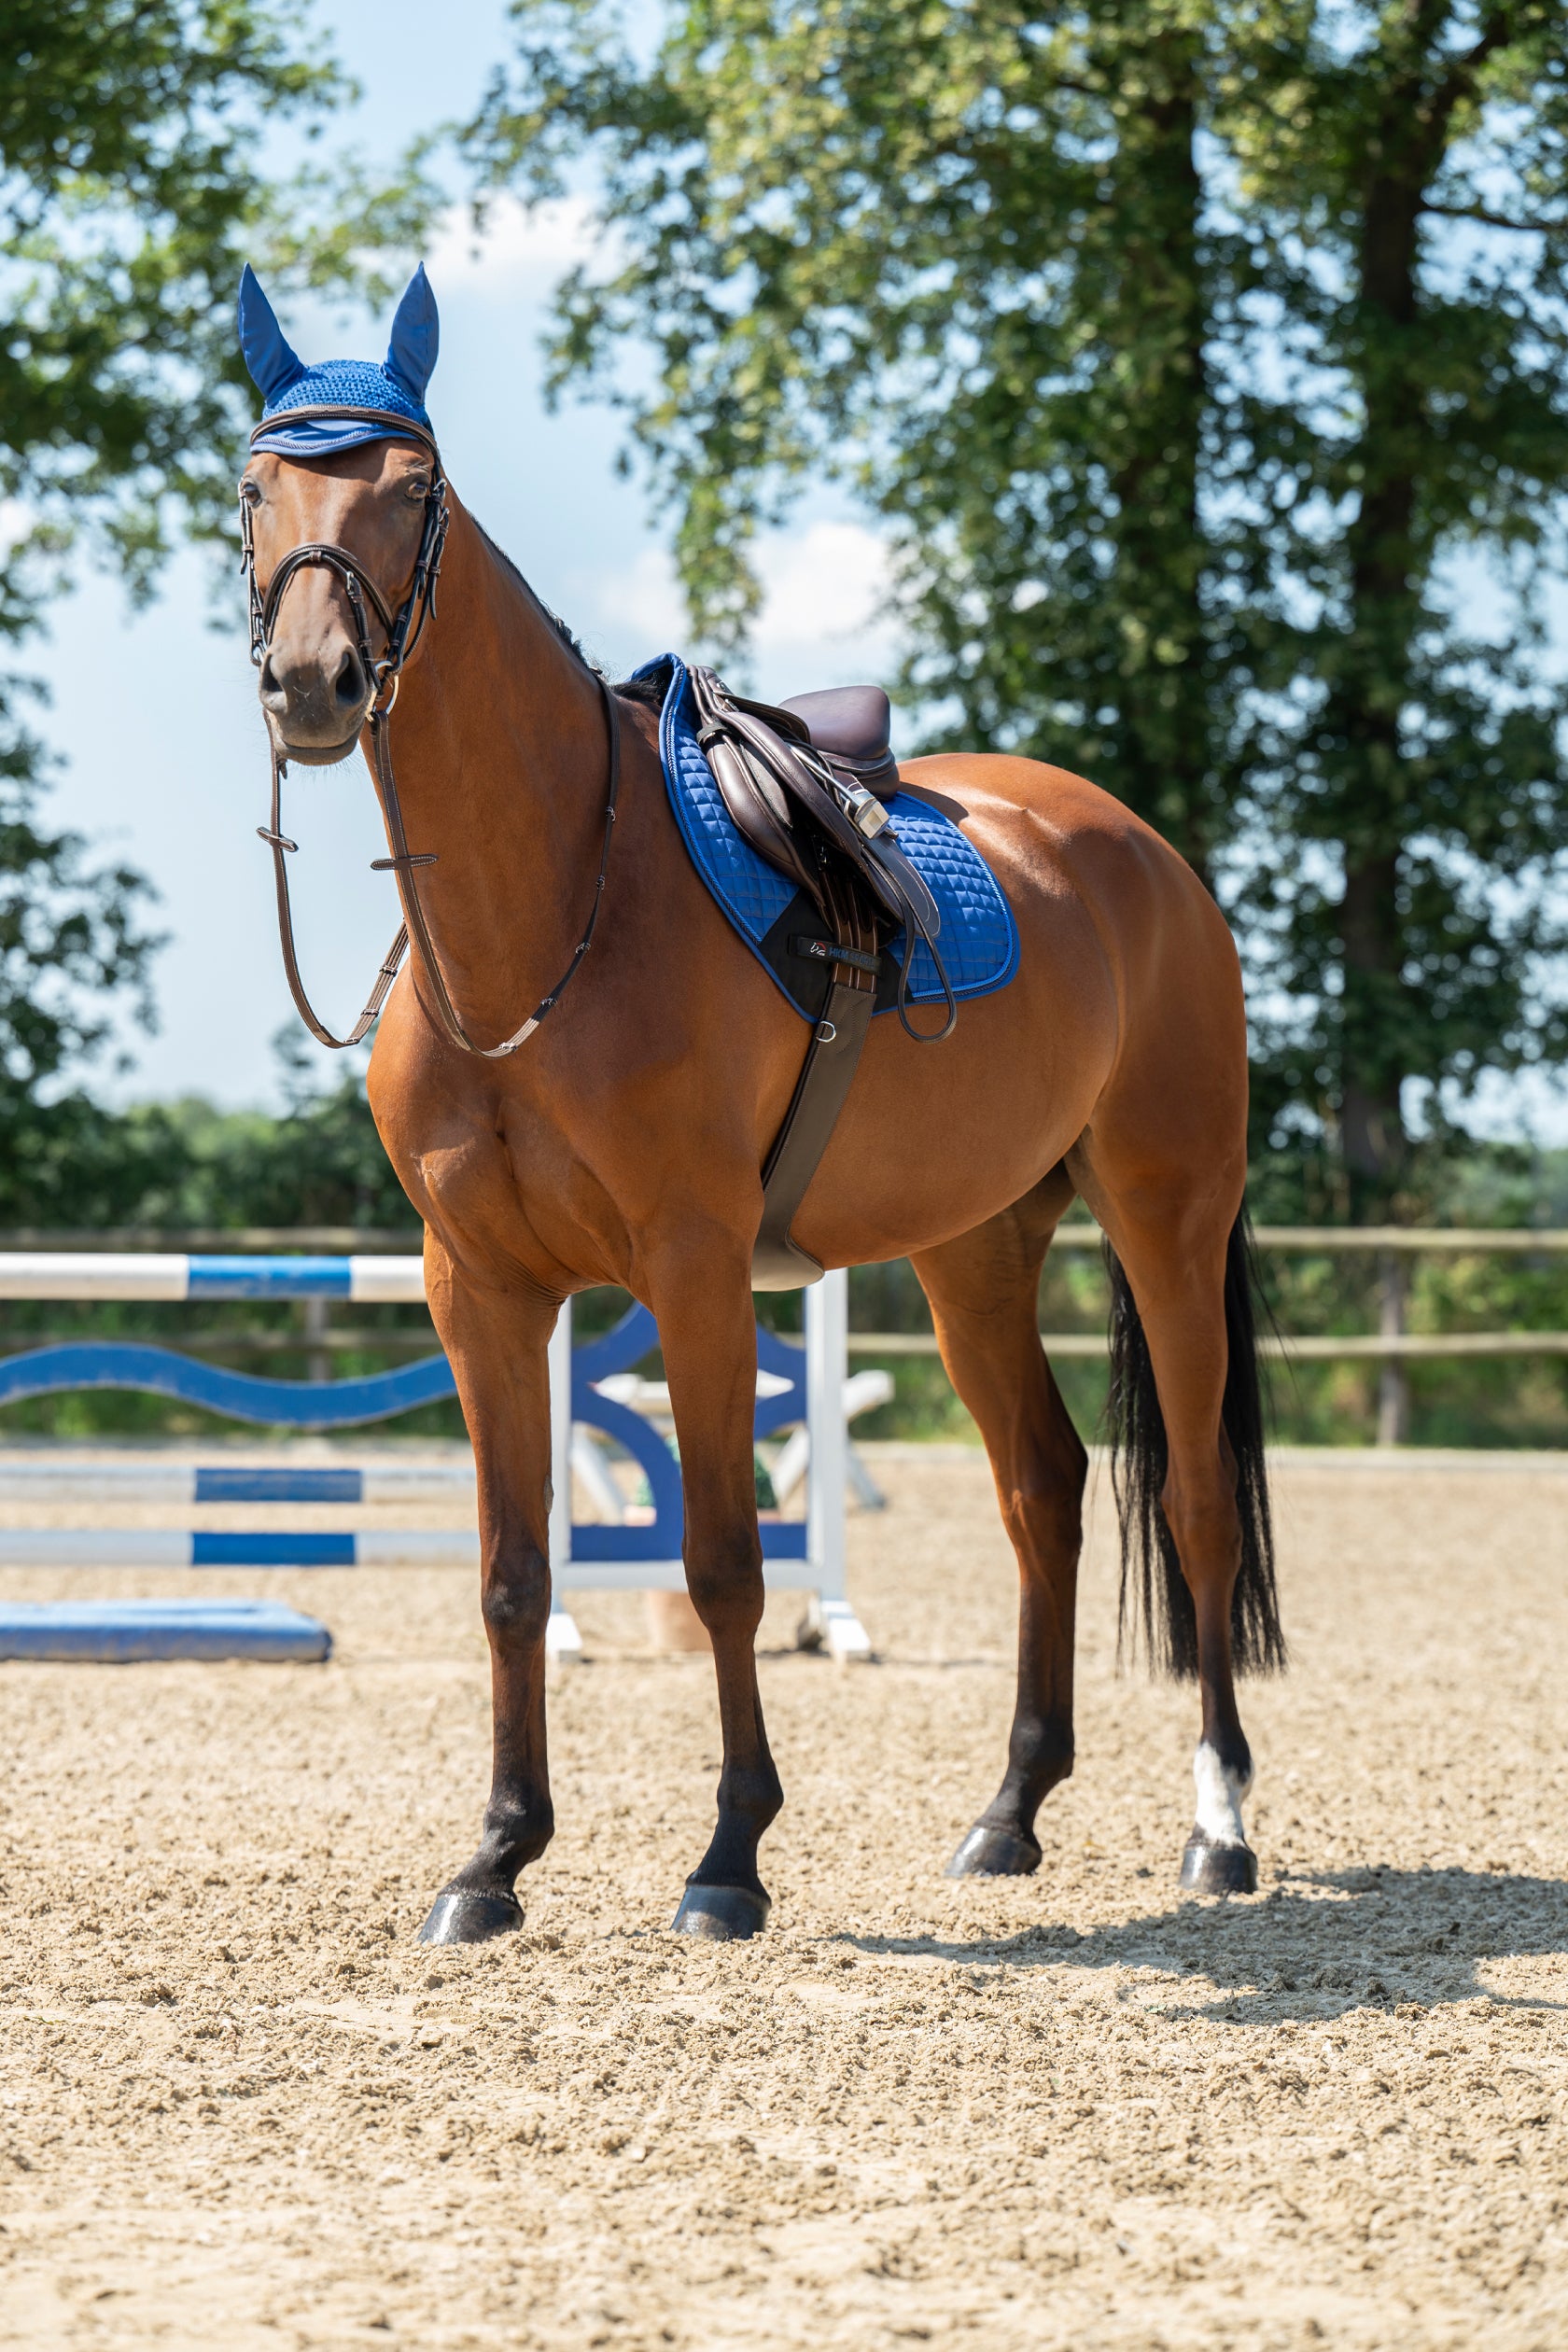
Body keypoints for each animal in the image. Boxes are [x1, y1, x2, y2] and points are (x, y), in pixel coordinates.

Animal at [235, 268, 1283, 1946]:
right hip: (975, 1251)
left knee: (1188, 1504)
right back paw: (1008, 1815)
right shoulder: (480, 1286)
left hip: (1166, 1218)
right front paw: (494, 1859)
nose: (314, 685)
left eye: (413, 488)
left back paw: (1220, 1829)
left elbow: (724, 1560)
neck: (550, 913)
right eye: (258, 485)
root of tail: (1144, 857)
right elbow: (511, 1575)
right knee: (1041, 1491)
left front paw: (728, 1857)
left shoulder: (695, 1267)